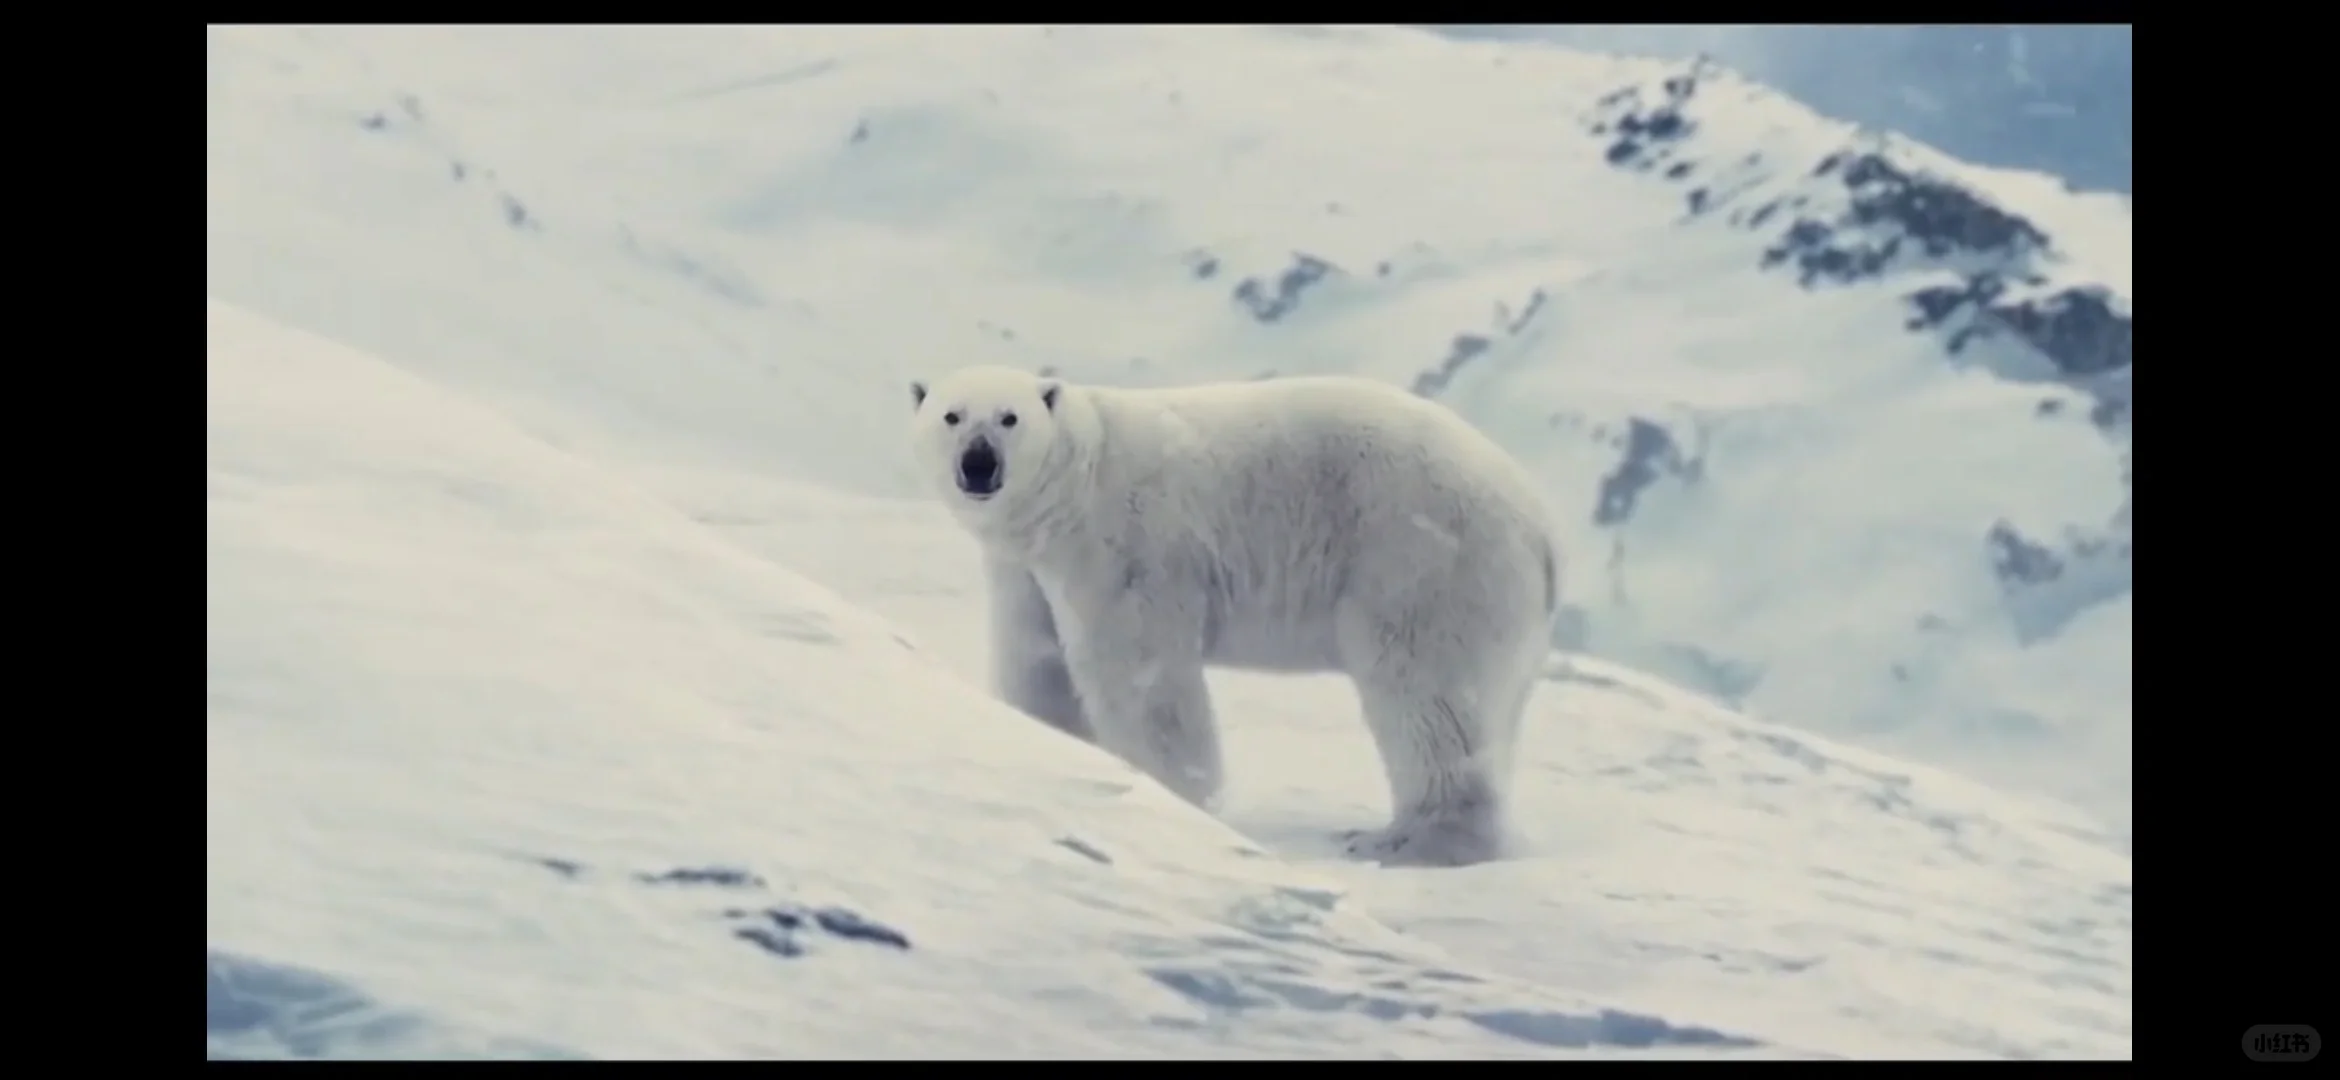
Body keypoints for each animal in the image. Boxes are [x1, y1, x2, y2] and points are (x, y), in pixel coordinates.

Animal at [903, 367, 1563, 864]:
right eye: (951, 415)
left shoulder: (1128, 548)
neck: (1076, 480)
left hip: (1421, 561)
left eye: (1009, 418)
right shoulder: (1025, 569)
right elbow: (1037, 659)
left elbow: (1140, 674)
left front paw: (1179, 796)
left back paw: (1408, 841)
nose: (979, 464)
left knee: (1426, 692)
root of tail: (1540, 524)